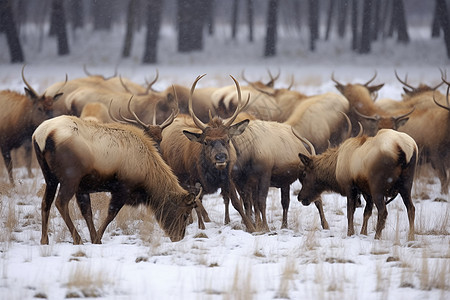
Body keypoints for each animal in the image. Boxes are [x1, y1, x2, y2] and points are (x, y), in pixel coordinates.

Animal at [32, 114, 200, 244]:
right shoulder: (123, 188)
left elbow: (87, 212)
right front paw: (97, 238)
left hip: (50, 178)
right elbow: (110, 214)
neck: (147, 175)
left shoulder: (82, 188)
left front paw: (94, 237)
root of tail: (41, 135)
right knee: (60, 203)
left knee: (45, 202)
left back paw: (44, 240)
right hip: (70, 177)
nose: (178, 237)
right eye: (185, 214)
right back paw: (77, 239)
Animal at [160, 74, 255, 232]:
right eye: (205, 142)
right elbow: (197, 203)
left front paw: (250, 226)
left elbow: (236, 203)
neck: (211, 177)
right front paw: (201, 227)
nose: (221, 157)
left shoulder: (228, 178)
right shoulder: (193, 180)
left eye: (227, 139)